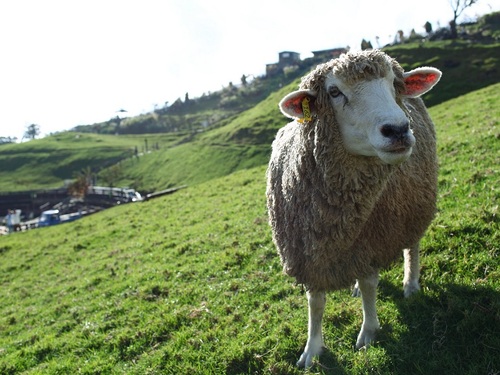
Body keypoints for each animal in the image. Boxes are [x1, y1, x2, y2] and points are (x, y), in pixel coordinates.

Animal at [266, 48, 442, 368]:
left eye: (394, 84)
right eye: (334, 92)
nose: (398, 129)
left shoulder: (369, 241)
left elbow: (371, 285)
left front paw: (368, 332)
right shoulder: (309, 253)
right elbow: (316, 302)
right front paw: (311, 350)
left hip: (415, 204)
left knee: (412, 245)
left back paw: (410, 283)